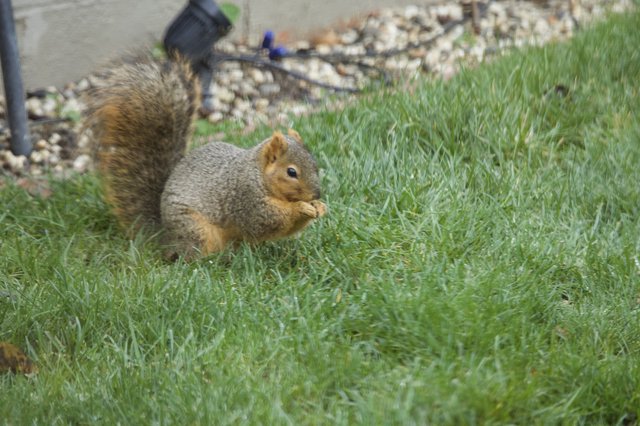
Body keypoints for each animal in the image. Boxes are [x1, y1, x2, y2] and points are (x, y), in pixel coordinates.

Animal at [85, 59, 327, 260]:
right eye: (291, 172)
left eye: (315, 165)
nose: (316, 194)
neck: (257, 174)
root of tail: (165, 239)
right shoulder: (246, 198)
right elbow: (267, 221)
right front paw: (301, 207)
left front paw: (319, 207)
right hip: (195, 228)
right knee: (192, 256)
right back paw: (214, 260)